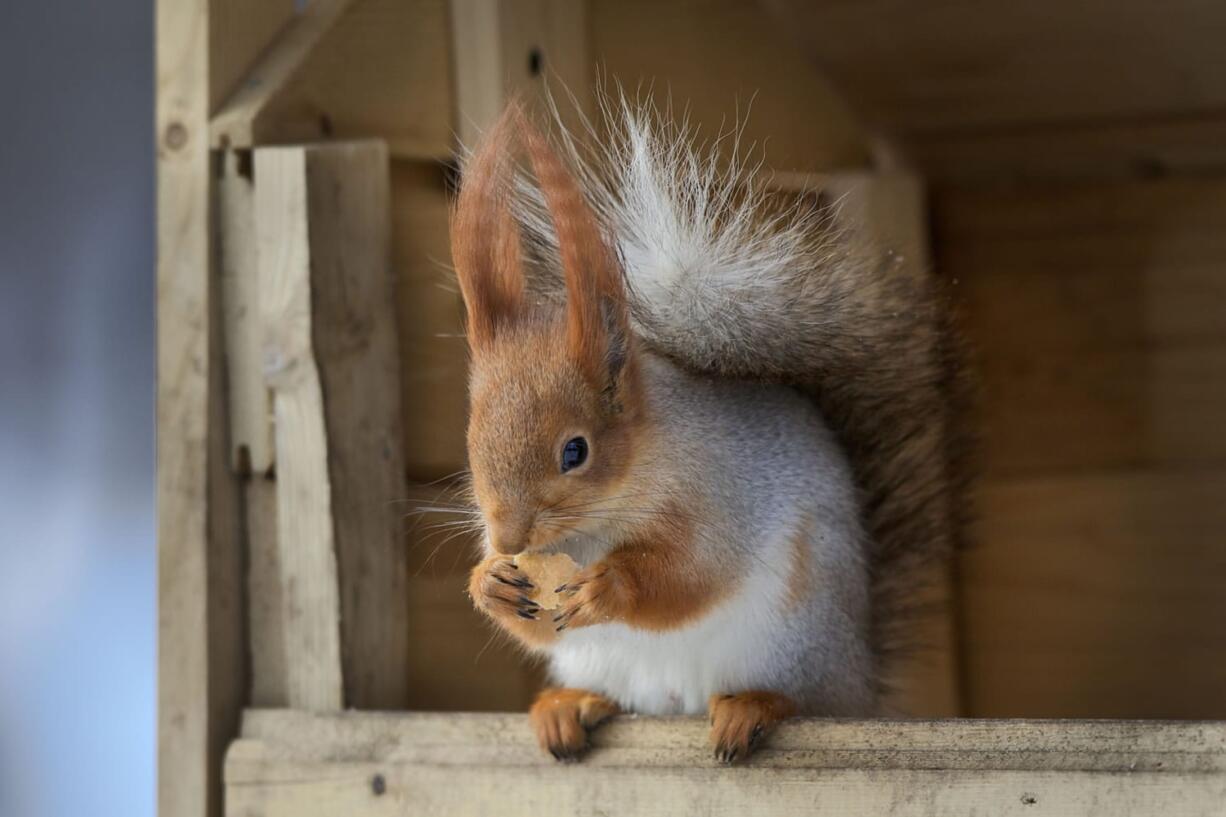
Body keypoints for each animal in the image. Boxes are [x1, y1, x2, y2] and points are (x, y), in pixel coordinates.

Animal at [448, 96, 966, 765]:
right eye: (472, 441)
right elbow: (533, 623)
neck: (594, 526)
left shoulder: (722, 492)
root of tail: (858, 681)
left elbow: (696, 572)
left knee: (799, 698)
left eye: (575, 451)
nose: (507, 539)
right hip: (598, 663)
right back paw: (567, 706)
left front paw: (609, 588)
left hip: (793, 645)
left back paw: (753, 706)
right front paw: (490, 581)